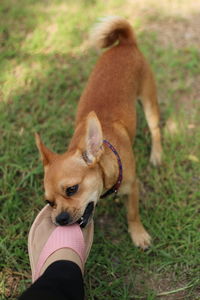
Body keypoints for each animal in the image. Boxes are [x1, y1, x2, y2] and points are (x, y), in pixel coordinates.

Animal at [35, 17, 162, 251]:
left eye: (72, 189)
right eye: (49, 202)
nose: (59, 219)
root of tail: (126, 43)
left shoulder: (133, 188)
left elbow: (132, 214)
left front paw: (138, 234)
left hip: (149, 101)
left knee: (155, 129)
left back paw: (156, 155)